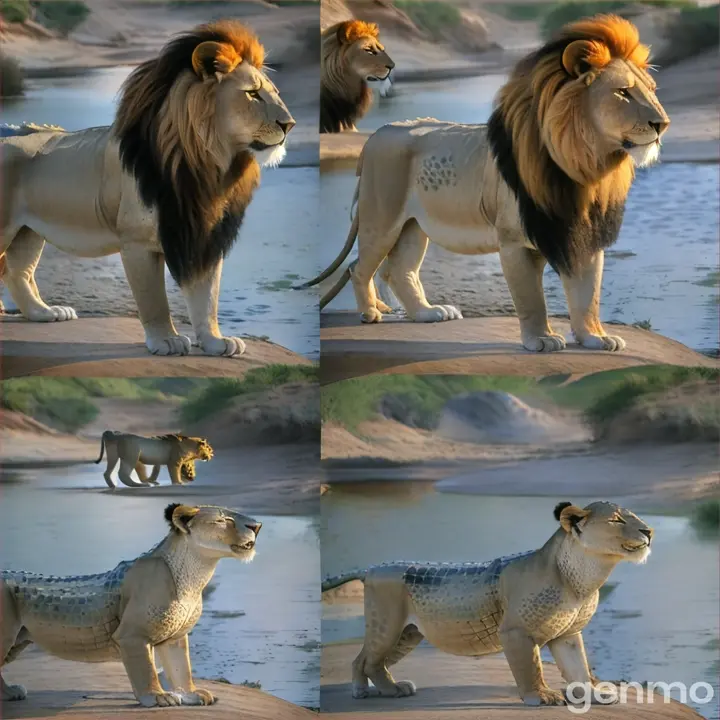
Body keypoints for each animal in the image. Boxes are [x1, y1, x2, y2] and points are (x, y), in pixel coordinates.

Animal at [0, 21, 296, 358]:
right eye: (252, 94)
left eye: (275, 94)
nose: (290, 124)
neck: (211, 167)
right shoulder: (138, 241)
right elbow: (154, 299)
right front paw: (166, 340)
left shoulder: (204, 235)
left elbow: (207, 297)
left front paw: (215, 342)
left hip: (27, 231)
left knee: (18, 272)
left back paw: (45, 313)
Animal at [2, 504, 262, 704]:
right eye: (224, 520)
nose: (257, 526)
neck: (193, 577)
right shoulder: (131, 636)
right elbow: (146, 669)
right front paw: (157, 697)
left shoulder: (175, 637)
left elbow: (182, 668)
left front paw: (191, 694)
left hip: (16, 642)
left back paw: (10, 693)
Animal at [306, 15, 672, 352]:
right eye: (623, 93)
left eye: (652, 92)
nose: (663, 123)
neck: (587, 168)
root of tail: (375, 137)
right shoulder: (515, 241)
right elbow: (531, 298)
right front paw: (541, 339)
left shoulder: (583, 235)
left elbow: (588, 294)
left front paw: (595, 338)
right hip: (382, 219)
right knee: (359, 267)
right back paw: (371, 312)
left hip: (413, 226)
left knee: (399, 270)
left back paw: (428, 313)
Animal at [324, 500, 656, 704]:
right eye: (616, 520)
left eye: (635, 516)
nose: (649, 531)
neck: (582, 580)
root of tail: (372, 567)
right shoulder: (516, 632)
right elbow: (530, 667)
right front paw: (540, 696)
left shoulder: (568, 634)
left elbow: (579, 668)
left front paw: (593, 694)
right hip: (387, 625)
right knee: (364, 659)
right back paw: (367, 691)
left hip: (407, 633)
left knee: (372, 662)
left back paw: (387, 689)